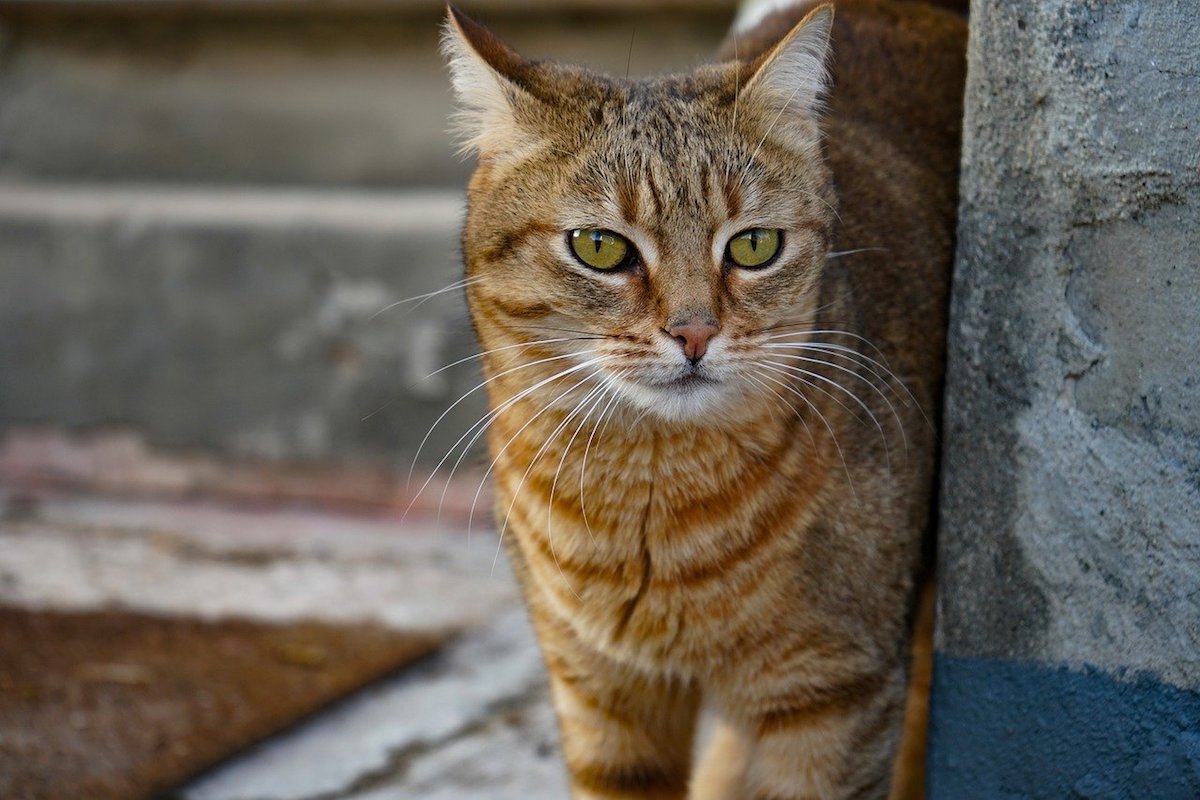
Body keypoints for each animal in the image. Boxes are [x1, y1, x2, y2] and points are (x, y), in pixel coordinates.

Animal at [441, 1, 964, 796]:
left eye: (753, 246)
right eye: (599, 247)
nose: (694, 332)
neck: (648, 491)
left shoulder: (836, 696)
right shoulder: (601, 699)